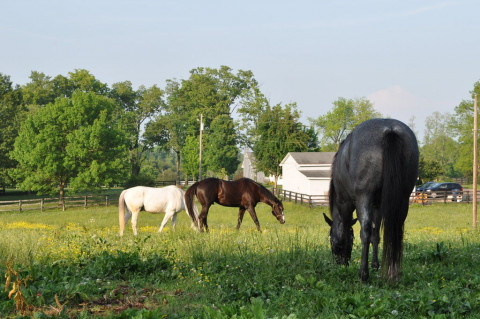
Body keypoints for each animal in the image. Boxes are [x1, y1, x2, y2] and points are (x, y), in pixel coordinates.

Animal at [324, 119, 418, 282]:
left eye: (331, 238)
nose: (339, 261)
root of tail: (390, 129)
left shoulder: (346, 203)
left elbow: (346, 229)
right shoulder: (377, 206)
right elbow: (376, 235)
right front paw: (375, 264)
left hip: (364, 198)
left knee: (365, 231)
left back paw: (363, 274)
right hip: (403, 199)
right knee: (396, 231)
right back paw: (393, 273)